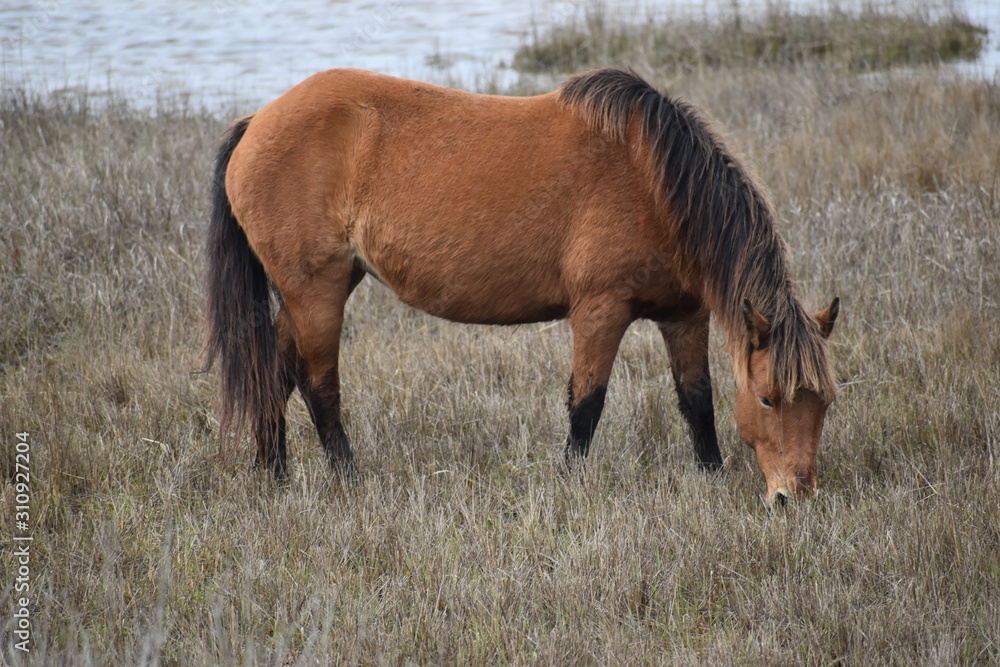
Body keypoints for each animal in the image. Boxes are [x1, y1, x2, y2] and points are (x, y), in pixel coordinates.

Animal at [204, 67, 839, 502]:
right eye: (767, 398)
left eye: (826, 402)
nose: (794, 497)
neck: (655, 182)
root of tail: (257, 122)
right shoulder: (600, 311)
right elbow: (587, 405)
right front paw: (570, 484)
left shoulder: (684, 315)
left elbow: (697, 401)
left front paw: (711, 477)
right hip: (317, 291)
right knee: (318, 386)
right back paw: (348, 479)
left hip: (312, 291)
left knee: (274, 371)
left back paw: (274, 474)